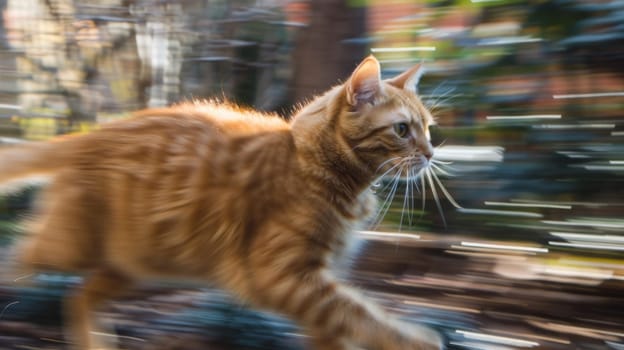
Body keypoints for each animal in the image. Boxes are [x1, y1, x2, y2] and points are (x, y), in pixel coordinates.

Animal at [1, 56, 438, 348]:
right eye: (402, 130)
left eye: (428, 129)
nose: (431, 153)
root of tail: (92, 134)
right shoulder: (283, 277)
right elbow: (362, 314)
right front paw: (416, 340)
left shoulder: (317, 285)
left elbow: (345, 324)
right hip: (71, 247)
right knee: (21, 253)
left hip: (132, 263)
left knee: (78, 295)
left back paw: (94, 342)